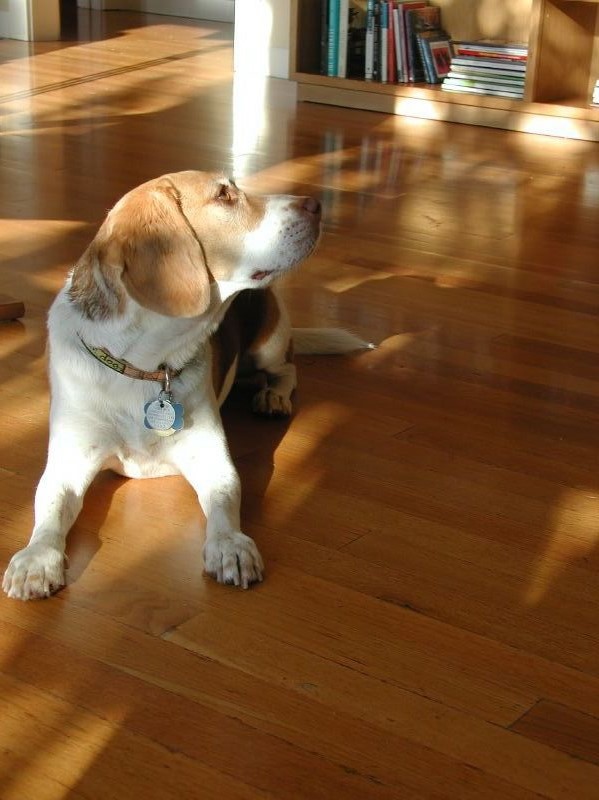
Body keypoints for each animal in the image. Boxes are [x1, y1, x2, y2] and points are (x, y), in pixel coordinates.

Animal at [3, 170, 366, 600]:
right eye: (224, 195)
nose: (316, 204)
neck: (144, 366)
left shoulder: (211, 457)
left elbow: (226, 496)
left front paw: (229, 545)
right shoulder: (69, 462)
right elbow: (49, 505)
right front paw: (37, 558)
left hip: (270, 342)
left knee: (287, 370)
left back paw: (273, 396)